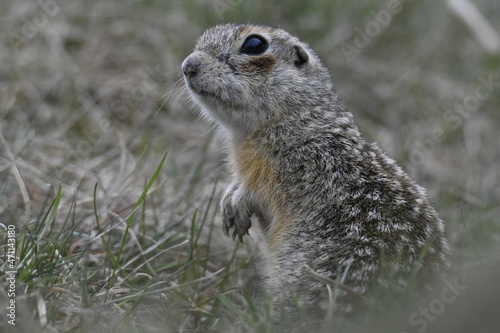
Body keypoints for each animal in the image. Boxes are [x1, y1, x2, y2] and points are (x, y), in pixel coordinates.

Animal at [182, 22, 452, 320]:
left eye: (254, 45)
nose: (188, 66)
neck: (300, 120)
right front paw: (228, 199)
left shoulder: (298, 169)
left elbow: (257, 192)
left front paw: (237, 205)